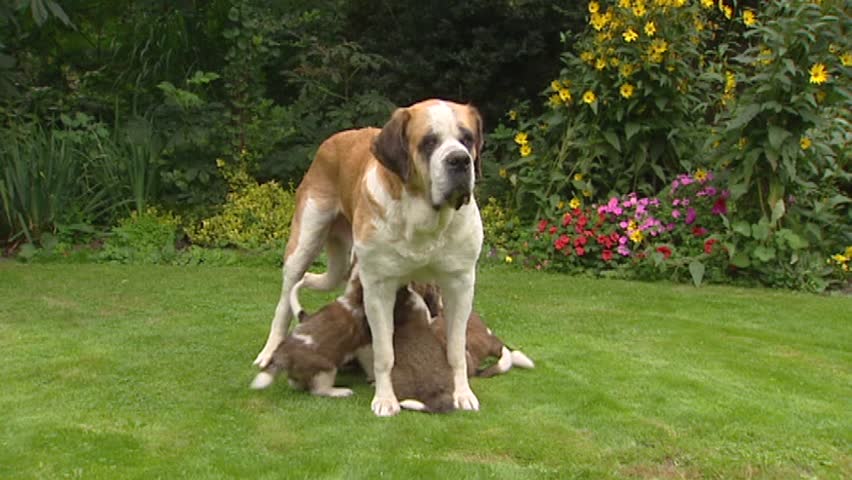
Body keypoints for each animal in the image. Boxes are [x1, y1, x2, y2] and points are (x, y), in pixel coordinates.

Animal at [253, 266, 372, 398]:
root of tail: (284, 354)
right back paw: (341, 391)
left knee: (297, 383)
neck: (354, 298)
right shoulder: (364, 345)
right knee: (319, 390)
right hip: (326, 368)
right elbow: (371, 362)